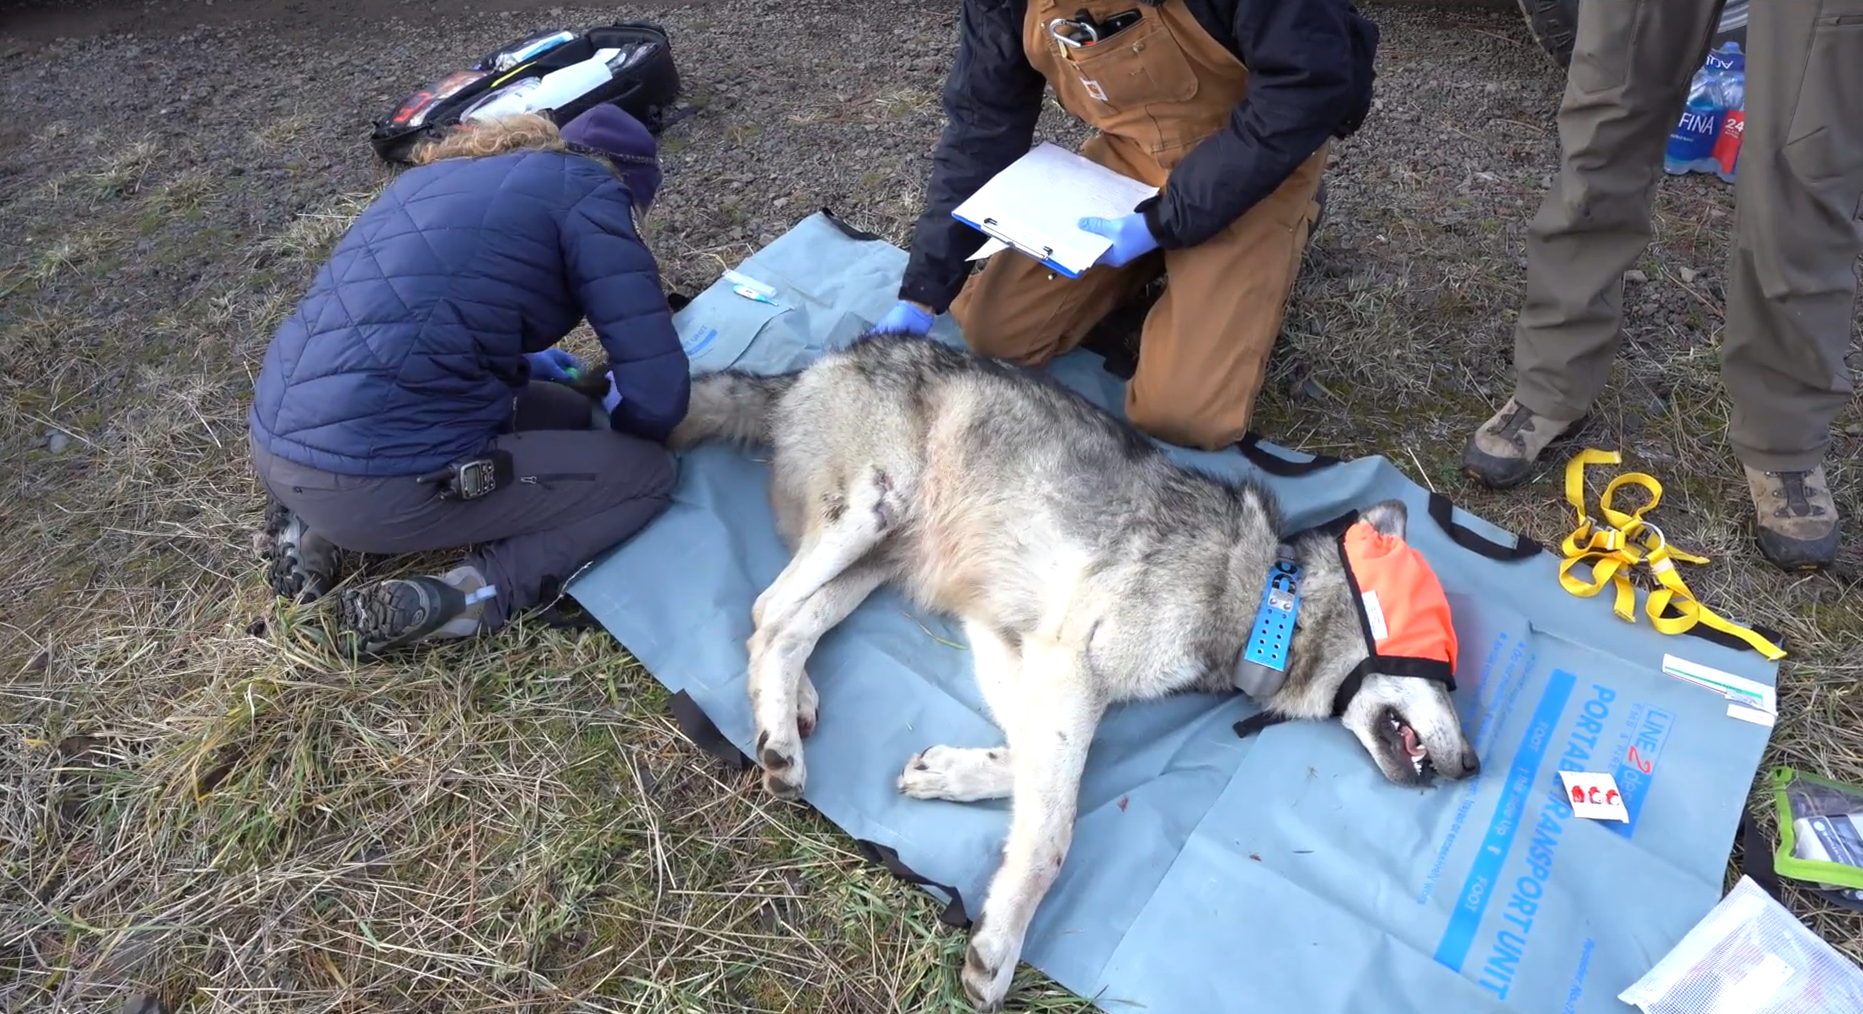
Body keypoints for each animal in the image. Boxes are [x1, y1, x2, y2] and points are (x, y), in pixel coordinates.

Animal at [665, 333, 1480, 1012]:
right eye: (1444, 663)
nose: (1474, 764)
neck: (1265, 605)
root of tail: (816, 364)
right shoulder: (1069, 665)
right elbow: (1055, 829)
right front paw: (998, 946)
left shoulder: (1015, 642)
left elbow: (1035, 765)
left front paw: (949, 772)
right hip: (870, 512)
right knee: (770, 612)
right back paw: (779, 741)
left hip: (876, 565)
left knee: (783, 619)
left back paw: (789, 710)